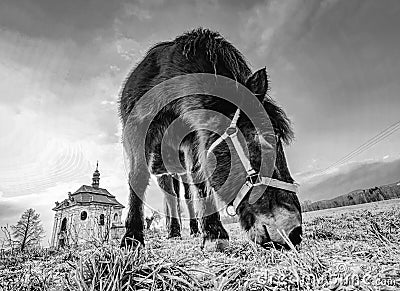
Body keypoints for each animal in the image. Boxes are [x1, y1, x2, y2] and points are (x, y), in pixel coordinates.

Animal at [120, 28, 302, 250]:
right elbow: (137, 178)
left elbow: (200, 179)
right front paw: (132, 237)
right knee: (171, 196)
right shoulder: (137, 132)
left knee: (186, 196)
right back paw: (173, 231)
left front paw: (213, 233)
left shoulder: (194, 140)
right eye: (266, 138)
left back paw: (192, 229)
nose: (295, 232)